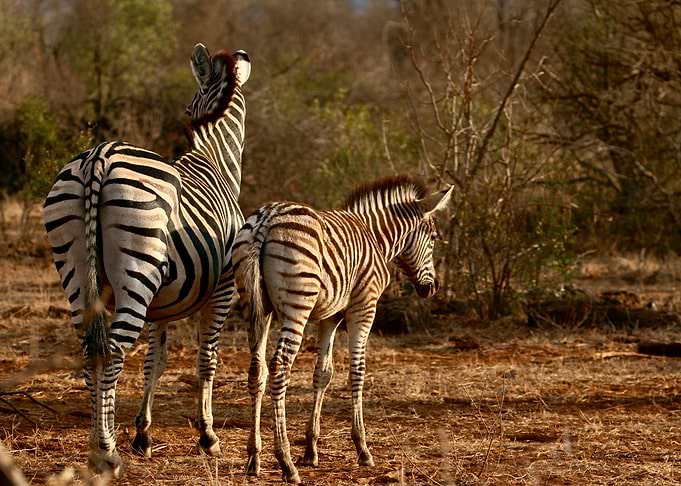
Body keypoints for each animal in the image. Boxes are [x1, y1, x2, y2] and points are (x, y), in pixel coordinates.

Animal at [42, 44, 250, 477]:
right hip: (137, 273)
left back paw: (97, 447)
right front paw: (208, 437)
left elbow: (156, 362)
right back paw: (106, 454)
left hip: (76, 269)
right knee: (113, 351)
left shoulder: (162, 304)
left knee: (91, 350)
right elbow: (207, 360)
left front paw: (143, 435)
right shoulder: (223, 290)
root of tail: (99, 157)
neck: (215, 160)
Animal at [232, 175, 454, 483]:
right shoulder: (364, 307)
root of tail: (267, 217)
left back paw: (254, 458)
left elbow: (323, 374)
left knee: (258, 371)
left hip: (255, 307)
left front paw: (311, 449)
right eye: (433, 238)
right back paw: (285, 462)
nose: (431, 288)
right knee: (279, 367)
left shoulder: (330, 317)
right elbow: (357, 372)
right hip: (296, 306)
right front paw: (362, 448)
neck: (376, 238)